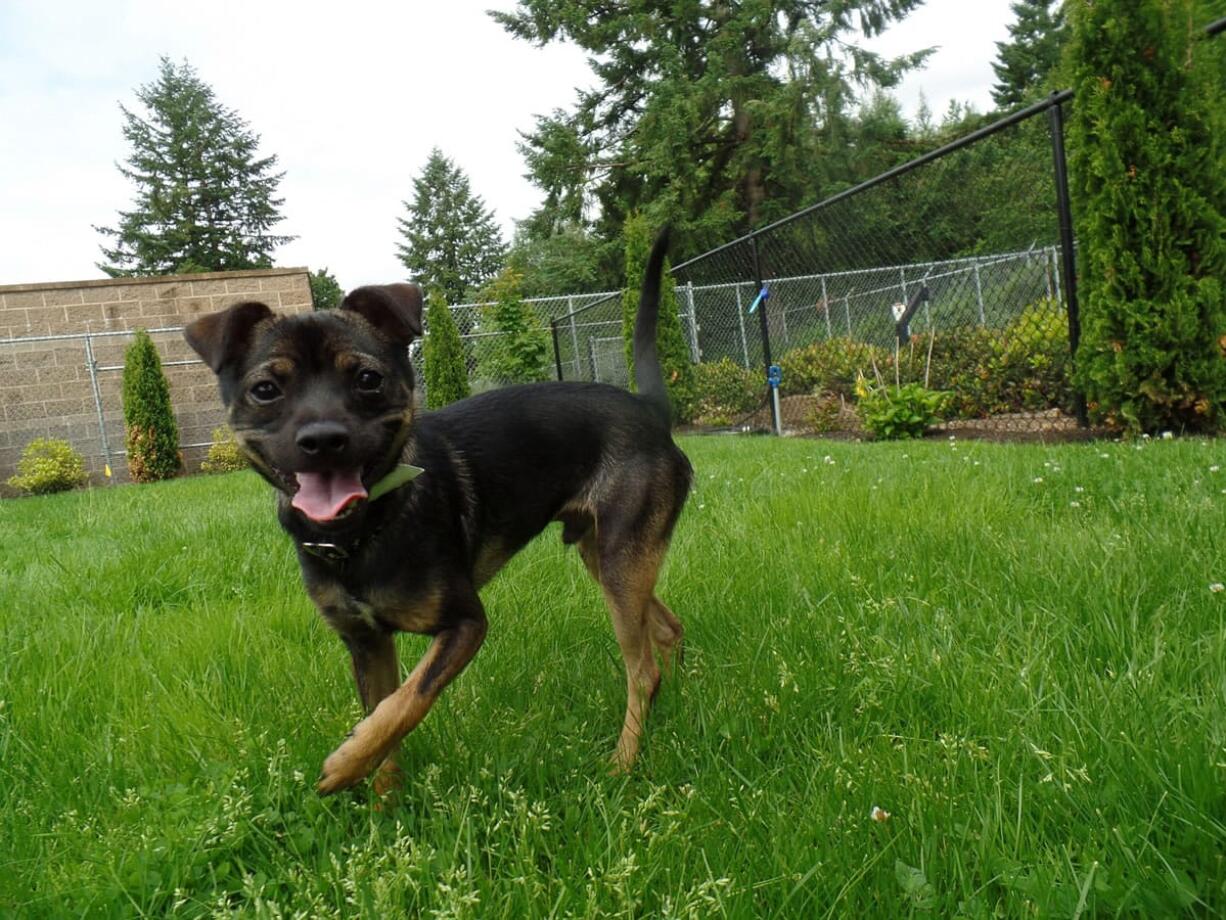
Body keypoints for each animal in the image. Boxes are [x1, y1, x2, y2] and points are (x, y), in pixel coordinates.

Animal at [186, 229, 696, 794]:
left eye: (367, 379)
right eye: (265, 390)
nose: (322, 440)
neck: (362, 533)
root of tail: (649, 409)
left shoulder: (465, 624)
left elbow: (407, 701)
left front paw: (345, 765)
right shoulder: (366, 642)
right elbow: (383, 717)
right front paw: (384, 801)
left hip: (620, 558)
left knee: (642, 670)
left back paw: (622, 763)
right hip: (606, 556)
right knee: (666, 632)